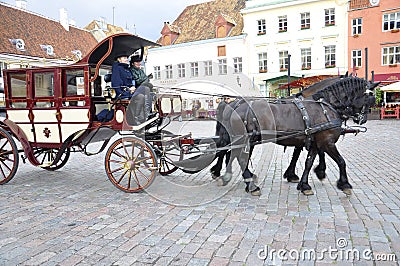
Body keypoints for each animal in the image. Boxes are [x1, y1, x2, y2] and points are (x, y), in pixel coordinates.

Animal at [212, 77, 376, 195]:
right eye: (369, 100)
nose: (362, 119)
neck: (325, 107)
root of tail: (234, 105)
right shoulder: (327, 142)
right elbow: (341, 161)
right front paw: (344, 183)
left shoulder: (314, 142)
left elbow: (308, 162)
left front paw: (304, 184)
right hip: (247, 139)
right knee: (236, 156)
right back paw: (249, 184)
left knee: (232, 154)